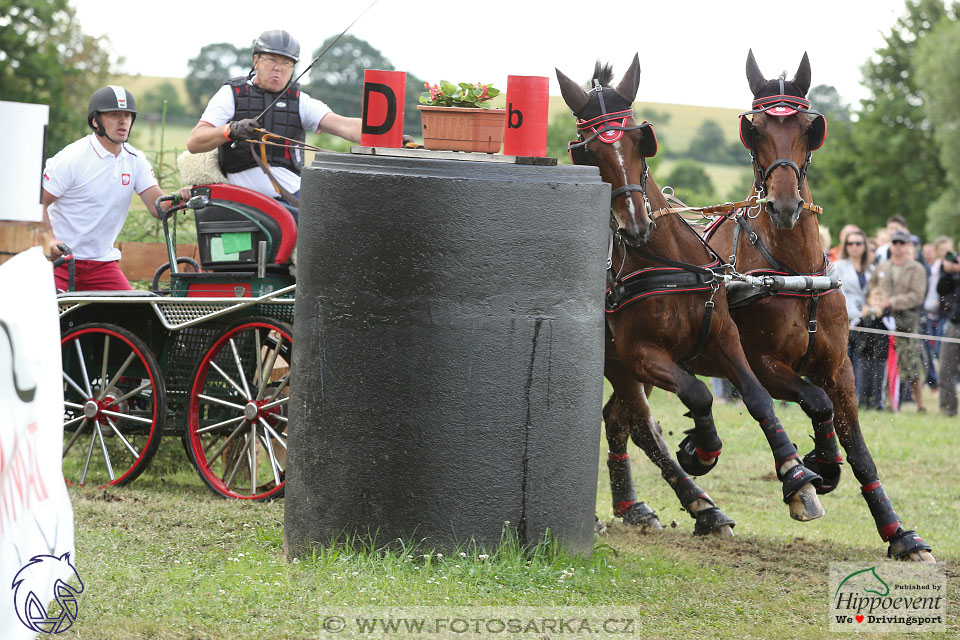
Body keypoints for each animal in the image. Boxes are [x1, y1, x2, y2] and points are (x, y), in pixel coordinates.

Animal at [556, 55, 824, 536]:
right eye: (589, 153)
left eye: (639, 141)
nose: (635, 225)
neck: (666, 264)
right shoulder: (641, 354)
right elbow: (698, 395)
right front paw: (701, 449)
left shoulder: (724, 338)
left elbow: (757, 397)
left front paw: (798, 479)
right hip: (618, 363)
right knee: (639, 423)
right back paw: (690, 500)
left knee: (621, 419)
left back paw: (650, 506)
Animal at [700, 48, 932, 560]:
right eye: (755, 129)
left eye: (810, 128)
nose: (785, 206)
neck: (795, 271)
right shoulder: (761, 364)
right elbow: (817, 402)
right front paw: (819, 469)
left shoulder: (839, 367)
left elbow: (860, 450)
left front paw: (899, 533)